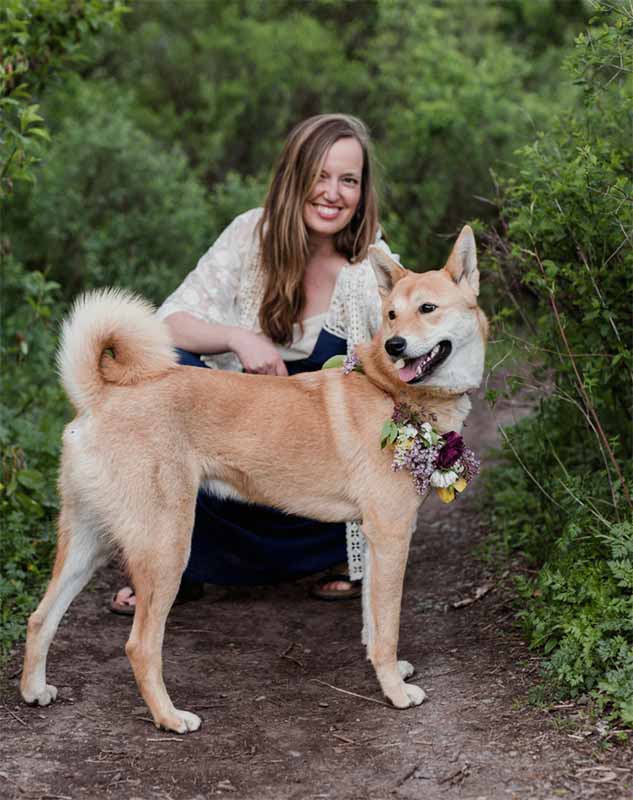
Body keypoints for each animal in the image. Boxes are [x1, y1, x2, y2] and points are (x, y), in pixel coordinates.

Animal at [18, 225, 484, 732]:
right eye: (392, 315)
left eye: (427, 309)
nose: (394, 345)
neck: (391, 389)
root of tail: (99, 395)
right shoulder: (393, 533)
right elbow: (387, 627)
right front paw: (395, 692)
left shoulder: (370, 535)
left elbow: (371, 621)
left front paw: (389, 671)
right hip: (166, 547)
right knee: (139, 645)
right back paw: (170, 717)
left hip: (90, 542)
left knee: (40, 617)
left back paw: (34, 691)